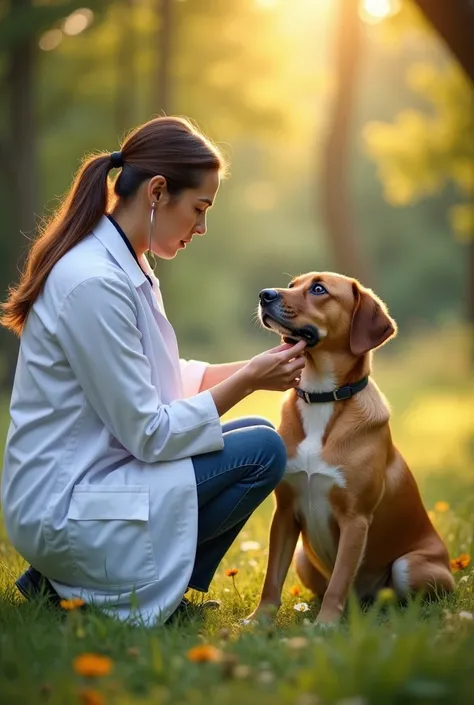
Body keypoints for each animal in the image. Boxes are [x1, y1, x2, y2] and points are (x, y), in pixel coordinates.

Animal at [248, 272, 452, 624]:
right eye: (293, 284)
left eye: (318, 289)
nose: (264, 294)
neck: (320, 397)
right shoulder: (285, 511)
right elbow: (272, 578)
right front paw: (259, 621)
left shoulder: (355, 519)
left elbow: (340, 579)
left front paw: (326, 624)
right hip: (303, 557)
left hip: (409, 566)